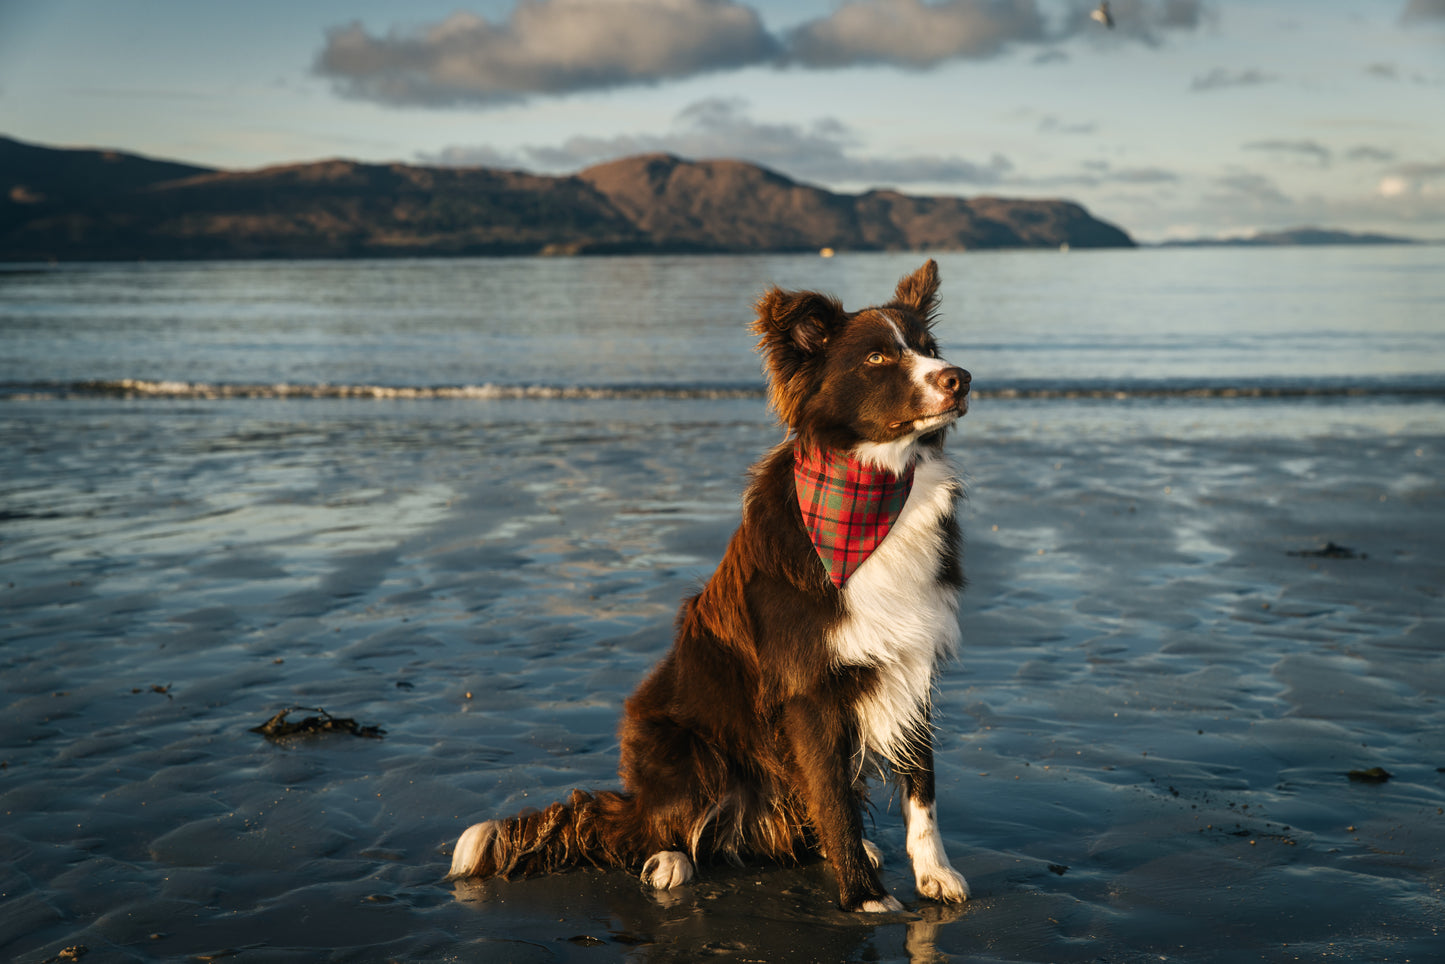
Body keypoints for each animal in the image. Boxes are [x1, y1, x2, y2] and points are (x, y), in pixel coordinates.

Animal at [447, 258, 971, 913]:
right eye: (877, 358)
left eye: (931, 350)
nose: (962, 379)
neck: (875, 495)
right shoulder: (809, 692)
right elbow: (835, 800)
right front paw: (863, 897)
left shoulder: (911, 664)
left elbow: (922, 790)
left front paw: (934, 875)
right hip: (683, 750)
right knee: (646, 829)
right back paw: (669, 859)